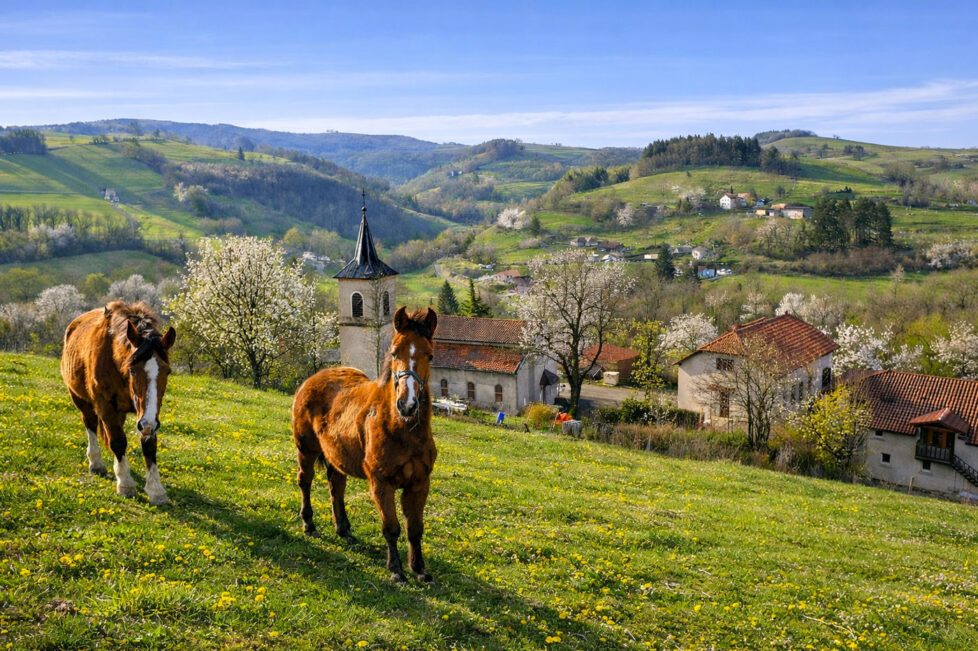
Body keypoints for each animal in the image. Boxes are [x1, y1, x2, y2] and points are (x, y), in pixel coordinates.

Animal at [61, 301, 176, 506]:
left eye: (167, 371)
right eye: (132, 370)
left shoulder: (149, 416)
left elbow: (149, 445)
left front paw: (155, 490)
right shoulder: (107, 408)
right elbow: (118, 441)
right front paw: (125, 484)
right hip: (81, 400)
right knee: (90, 424)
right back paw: (96, 463)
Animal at [292, 306, 438, 583]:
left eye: (430, 355)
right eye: (394, 352)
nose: (407, 405)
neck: (401, 430)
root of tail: (311, 380)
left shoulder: (419, 483)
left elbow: (415, 529)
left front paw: (420, 569)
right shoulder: (381, 483)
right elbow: (391, 528)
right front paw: (396, 570)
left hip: (336, 457)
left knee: (336, 487)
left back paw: (344, 529)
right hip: (306, 450)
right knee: (305, 481)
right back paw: (309, 524)